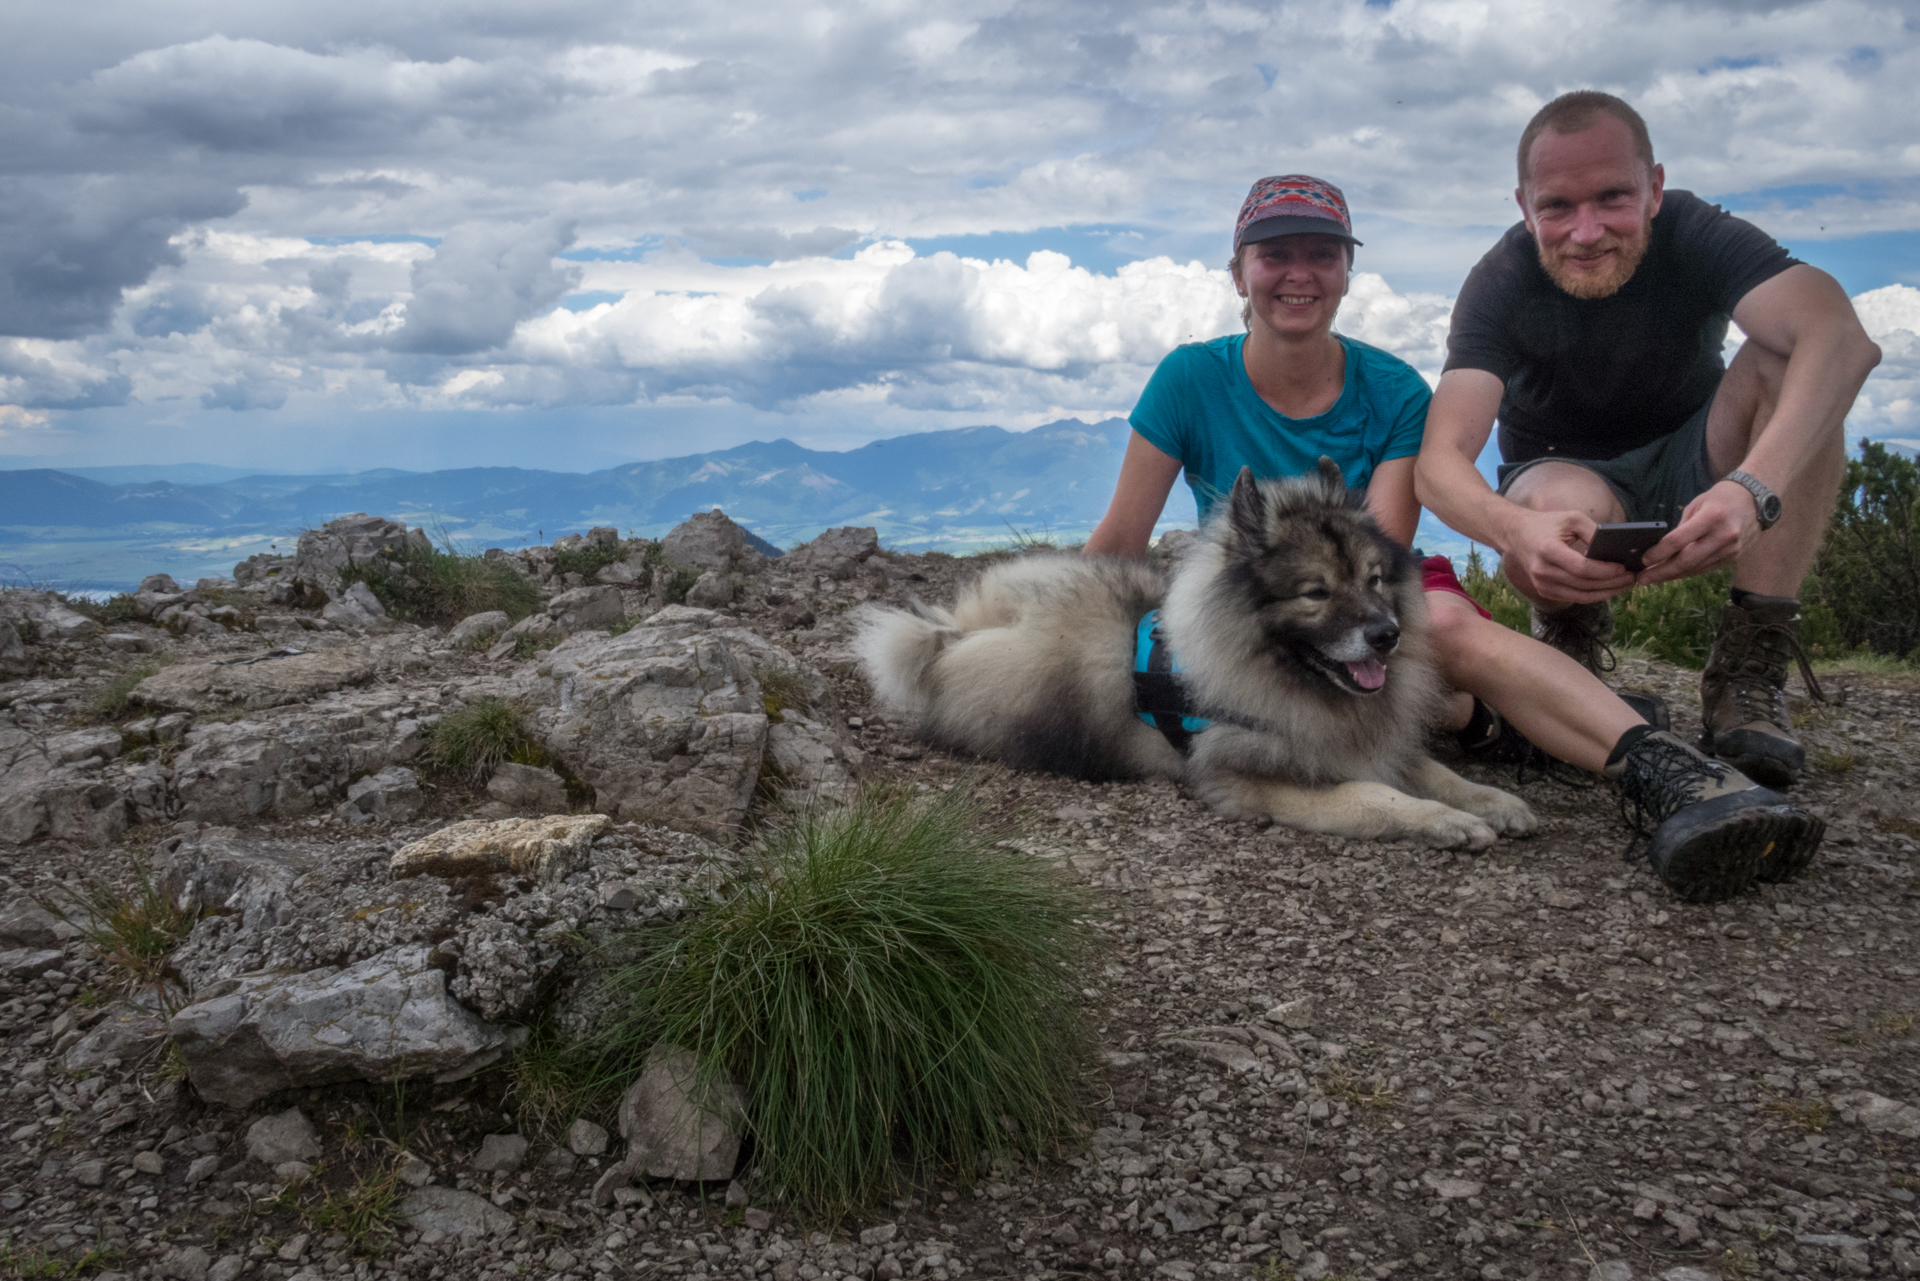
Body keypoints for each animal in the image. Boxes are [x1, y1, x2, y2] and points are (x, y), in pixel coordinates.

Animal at [864, 462, 1536, 852]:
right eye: (1315, 593)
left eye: (1374, 579)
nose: (1387, 635)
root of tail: (952, 636)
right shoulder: (1253, 780)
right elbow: (1374, 797)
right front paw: (1446, 822)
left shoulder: (1365, 740)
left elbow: (1434, 771)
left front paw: (1493, 802)